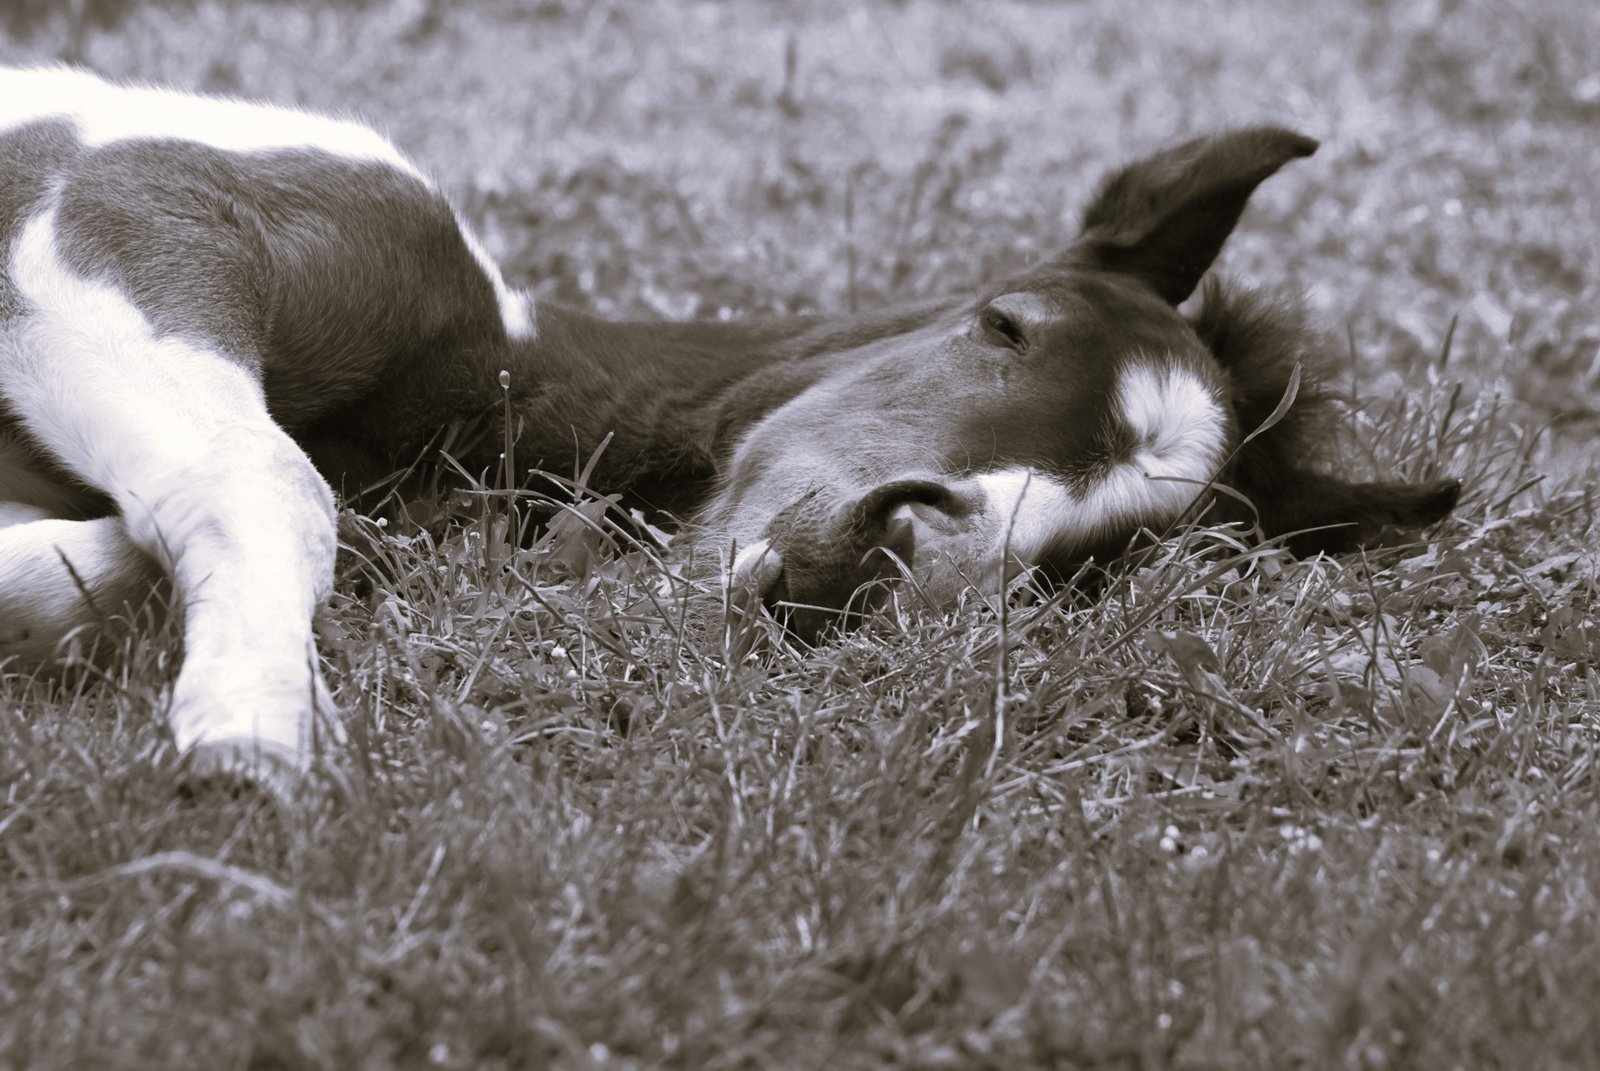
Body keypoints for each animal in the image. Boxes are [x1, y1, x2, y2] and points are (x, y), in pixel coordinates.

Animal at [0, 66, 1460, 786]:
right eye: (1006, 324)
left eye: (1099, 558)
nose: (873, 552)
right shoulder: (115, 215)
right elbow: (270, 480)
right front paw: (251, 734)